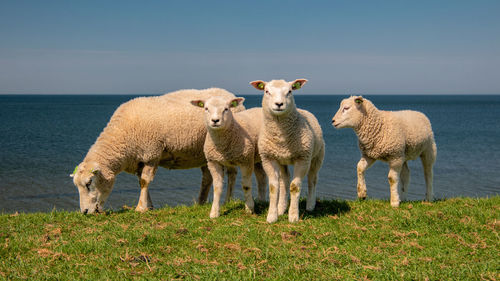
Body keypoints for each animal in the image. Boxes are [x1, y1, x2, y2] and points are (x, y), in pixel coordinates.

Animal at [71, 87, 249, 212]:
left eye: (89, 183)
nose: (84, 212)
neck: (122, 136)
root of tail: (231, 95)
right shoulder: (139, 159)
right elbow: (141, 182)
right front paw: (148, 206)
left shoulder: (151, 153)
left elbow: (145, 181)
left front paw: (140, 208)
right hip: (204, 153)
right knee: (207, 178)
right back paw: (200, 202)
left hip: (229, 144)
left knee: (232, 173)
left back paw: (228, 200)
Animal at [250, 77, 328, 222]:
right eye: (266, 91)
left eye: (290, 91)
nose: (279, 104)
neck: (282, 138)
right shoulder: (269, 159)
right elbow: (274, 187)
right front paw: (272, 216)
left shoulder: (303, 158)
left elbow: (295, 186)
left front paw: (293, 216)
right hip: (282, 160)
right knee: (284, 181)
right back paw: (281, 207)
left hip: (317, 157)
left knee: (312, 179)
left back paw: (310, 205)